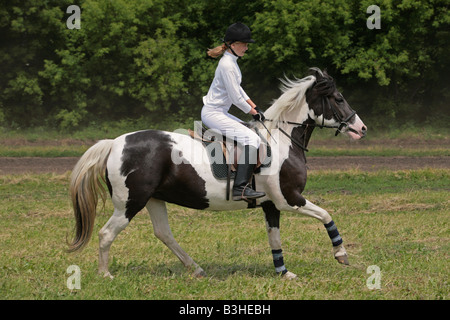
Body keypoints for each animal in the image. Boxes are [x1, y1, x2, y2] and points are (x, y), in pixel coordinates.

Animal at [69, 69, 366, 278]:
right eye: (338, 98)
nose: (361, 128)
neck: (281, 140)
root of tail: (115, 143)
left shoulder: (271, 205)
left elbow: (275, 237)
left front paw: (283, 273)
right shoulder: (289, 199)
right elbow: (326, 215)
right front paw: (341, 254)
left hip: (154, 199)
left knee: (164, 233)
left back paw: (196, 269)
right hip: (130, 203)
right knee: (107, 234)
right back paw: (105, 274)